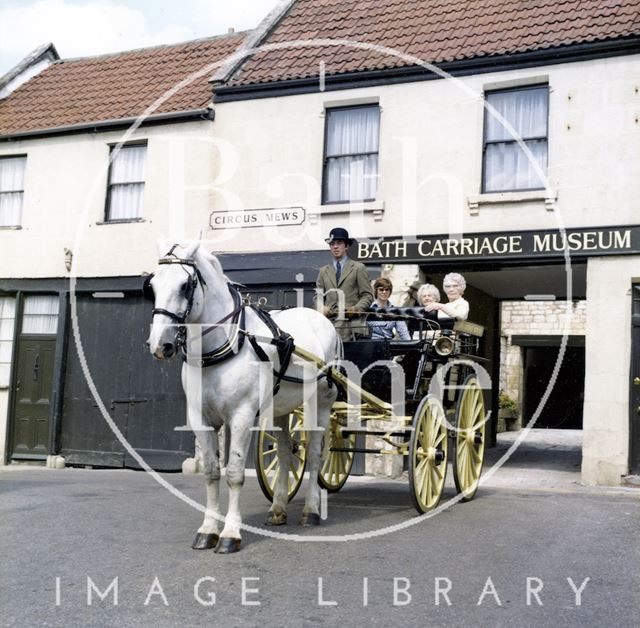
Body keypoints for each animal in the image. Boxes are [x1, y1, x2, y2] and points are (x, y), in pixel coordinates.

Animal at [145, 243, 340, 552]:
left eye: (185, 285)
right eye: (151, 285)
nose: (159, 345)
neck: (225, 345)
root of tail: (321, 318)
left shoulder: (241, 415)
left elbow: (234, 472)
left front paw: (230, 534)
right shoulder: (200, 418)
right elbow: (212, 471)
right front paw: (208, 530)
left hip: (319, 403)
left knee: (315, 454)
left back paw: (310, 511)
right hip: (281, 408)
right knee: (285, 452)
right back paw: (277, 509)